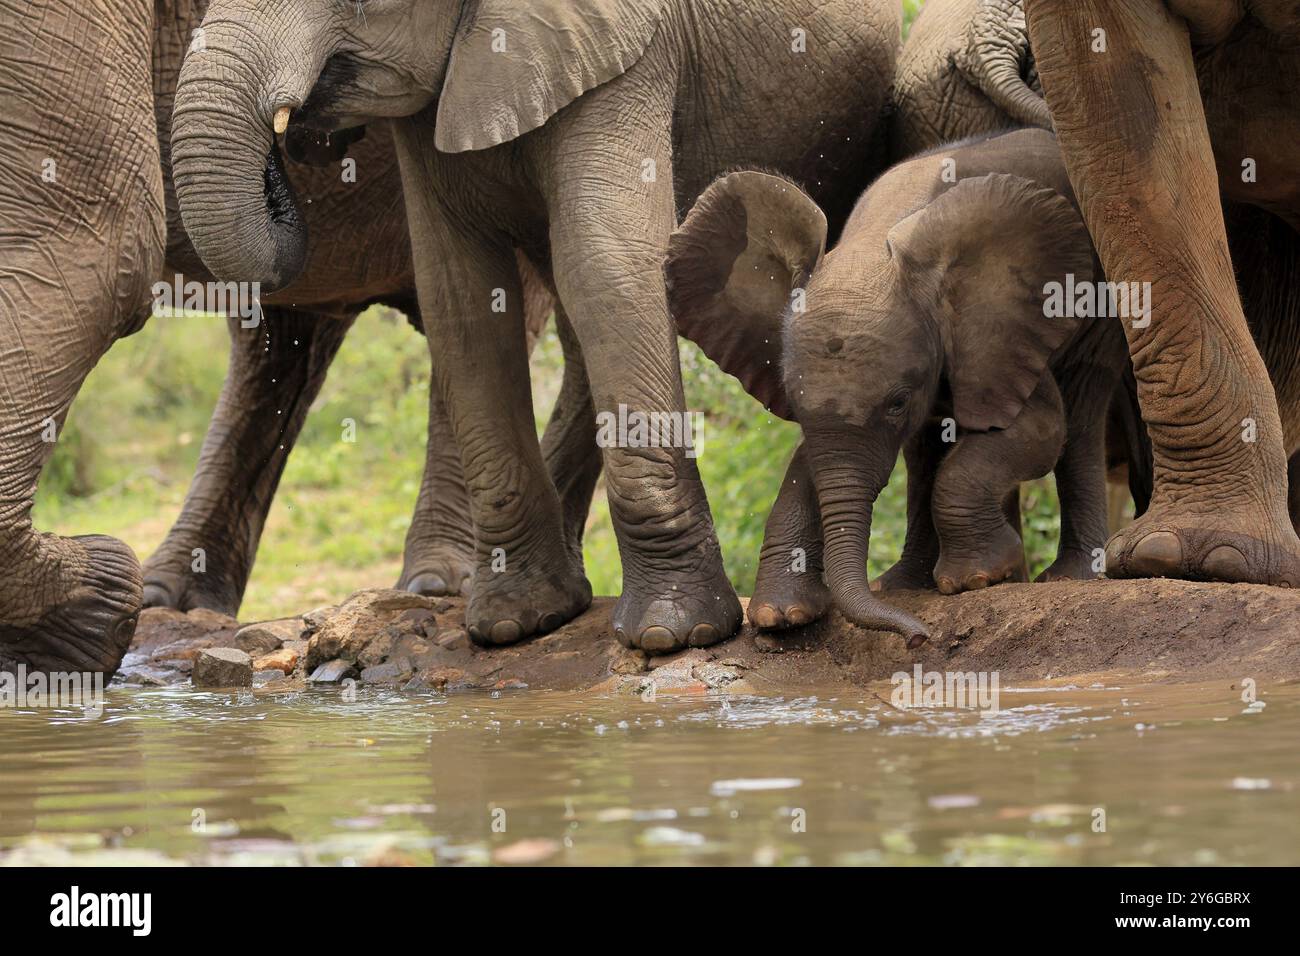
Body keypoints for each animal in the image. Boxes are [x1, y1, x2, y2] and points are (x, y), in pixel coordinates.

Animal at [170, 0, 904, 650]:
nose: (288, 138)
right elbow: (459, 295)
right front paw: (513, 625)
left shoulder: (628, 59)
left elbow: (605, 264)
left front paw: (674, 634)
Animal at [665, 127, 1133, 647]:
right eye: (795, 406)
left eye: (897, 402)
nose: (918, 639)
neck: (872, 245)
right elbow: (808, 461)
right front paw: (780, 616)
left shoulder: (998, 333)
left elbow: (1041, 430)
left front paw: (978, 578)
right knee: (927, 448)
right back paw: (904, 586)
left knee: (1081, 410)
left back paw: (1068, 575)